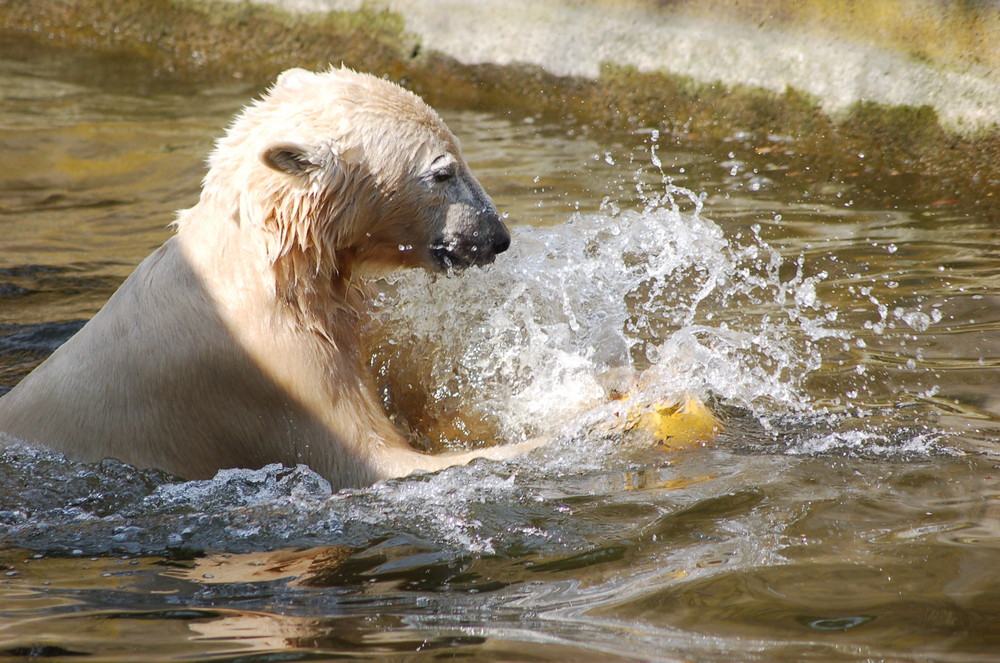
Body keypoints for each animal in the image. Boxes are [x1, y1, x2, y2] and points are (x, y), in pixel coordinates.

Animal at [0, 67, 540, 490]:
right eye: (442, 172)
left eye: (458, 155)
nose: (497, 237)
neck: (265, 266)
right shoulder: (269, 370)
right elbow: (375, 460)